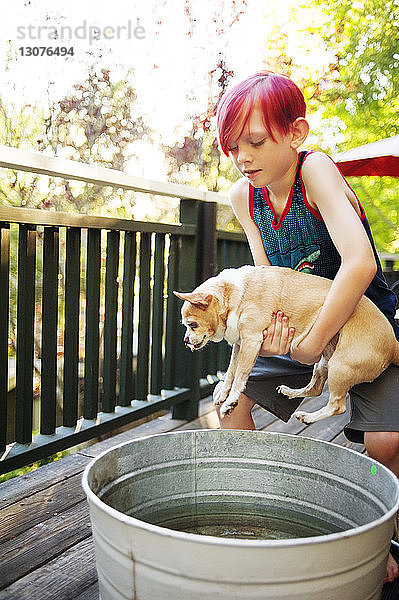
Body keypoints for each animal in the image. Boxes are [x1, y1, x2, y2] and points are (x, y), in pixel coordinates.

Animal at [174, 264, 399, 424]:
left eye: (192, 325)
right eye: (185, 326)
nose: (185, 340)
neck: (235, 293)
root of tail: (393, 345)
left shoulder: (251, 341)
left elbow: (240, 376)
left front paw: (231, 401)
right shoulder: (239, 344)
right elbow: (230, 371)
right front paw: (223, 393)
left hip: (340, 365)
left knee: (337, 406)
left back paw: (309, 416)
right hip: (324, 362)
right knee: (315, 389)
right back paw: (292, 392)